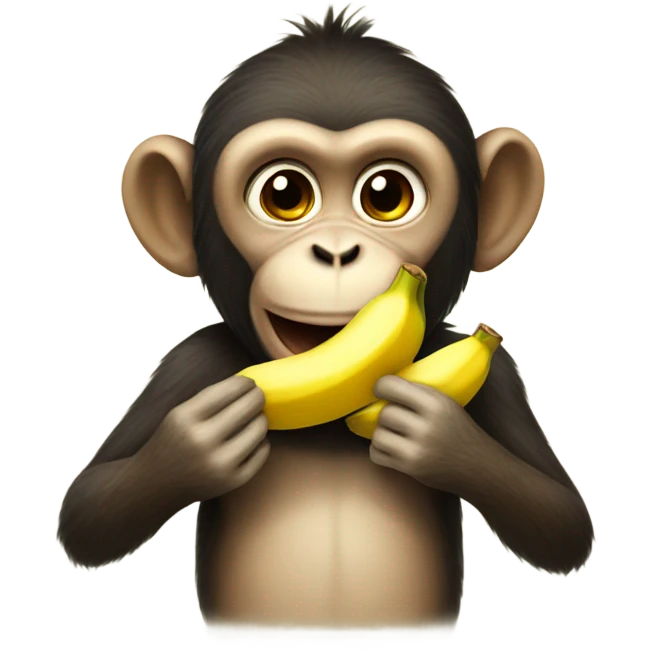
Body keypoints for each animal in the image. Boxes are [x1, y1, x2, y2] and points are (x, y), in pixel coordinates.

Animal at [56, 3, 595, 647]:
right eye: (285, 193)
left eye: (386, 195)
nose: (336, 250)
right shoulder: (188, 363)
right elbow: (88, 514)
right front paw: (197, 445)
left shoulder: (502, 376)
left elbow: (560, 520)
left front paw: (437, 435)